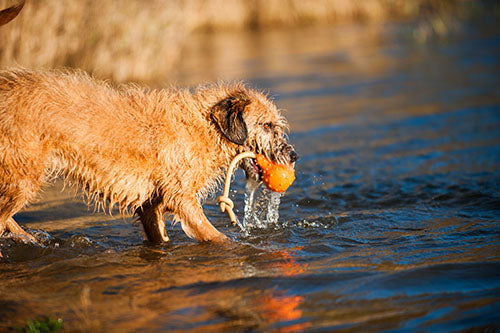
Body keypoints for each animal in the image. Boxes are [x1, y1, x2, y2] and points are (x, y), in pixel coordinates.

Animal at [0, 68, 296, 244]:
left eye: (278, 126)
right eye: (267, 125)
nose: (293, 156)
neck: (205, 127)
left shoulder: (151, 205)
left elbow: (158, 235)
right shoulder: (182, 199)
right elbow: (213, 235)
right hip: (22, 178)